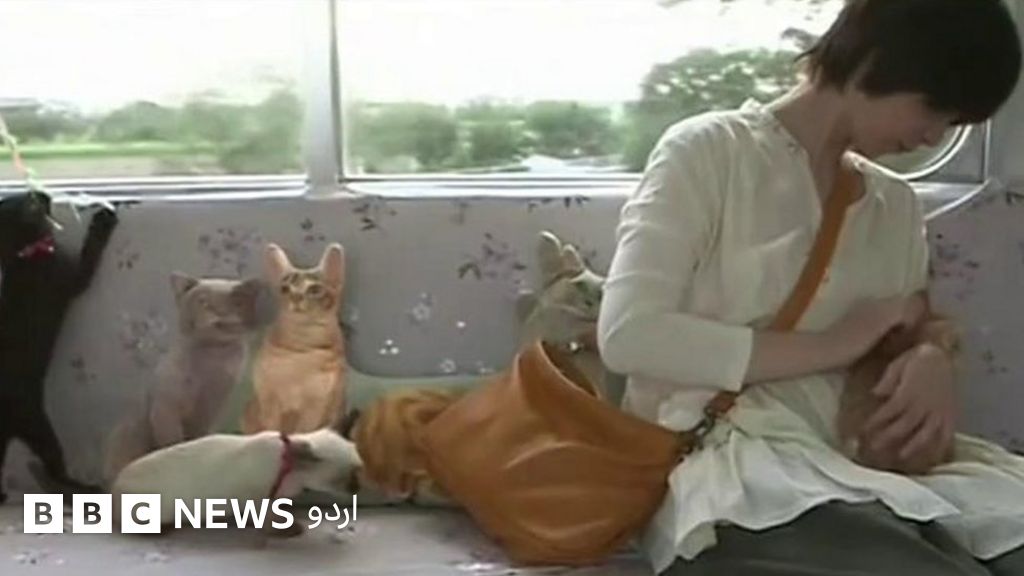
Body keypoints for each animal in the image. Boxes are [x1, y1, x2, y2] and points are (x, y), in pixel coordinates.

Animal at [0, 190, 117, 504]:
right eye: (34, 199)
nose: (45, 194)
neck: (24, 254)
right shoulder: (74, 276)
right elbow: (90, 254)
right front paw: (102, 221)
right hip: (39, 426)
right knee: (54, 469)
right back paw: (81, 487)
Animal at [103, 272, 263, 484]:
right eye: (204, 302)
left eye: (236, 302)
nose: (220, 314)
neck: (212, 360)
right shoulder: (167, 407)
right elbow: (171, 440)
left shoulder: (211, 407)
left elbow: (198, 436)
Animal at [242, 243, 346, 435]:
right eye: (285, 289)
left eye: (314, 290)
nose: (296, 297)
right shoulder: (268, 397)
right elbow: (271, 429)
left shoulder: (316, 404)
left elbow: (303, 431)